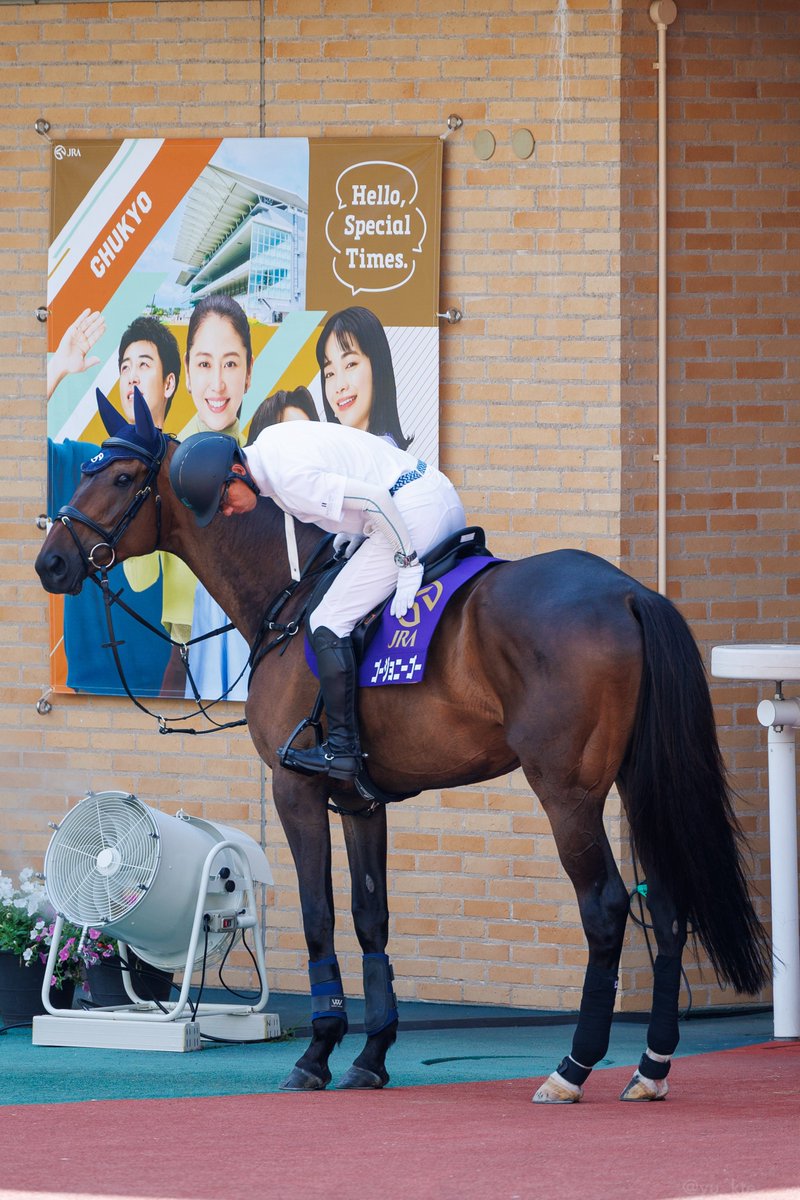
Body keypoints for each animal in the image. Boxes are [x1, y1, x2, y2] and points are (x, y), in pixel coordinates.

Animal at [35, 394, 771, 1103]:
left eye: (120, 478)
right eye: (88, 469)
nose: (51, 561)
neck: (291, 599)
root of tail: (629, 592)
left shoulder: (296, 791)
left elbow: (319, 917)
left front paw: (316, 1051)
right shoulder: (362, 804)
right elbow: (370, 919)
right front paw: (371, 1054)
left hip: (568, 793)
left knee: (608, 909)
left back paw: (573, 1067)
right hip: (637, 783)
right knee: (668, 907)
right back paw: (651, 1067)